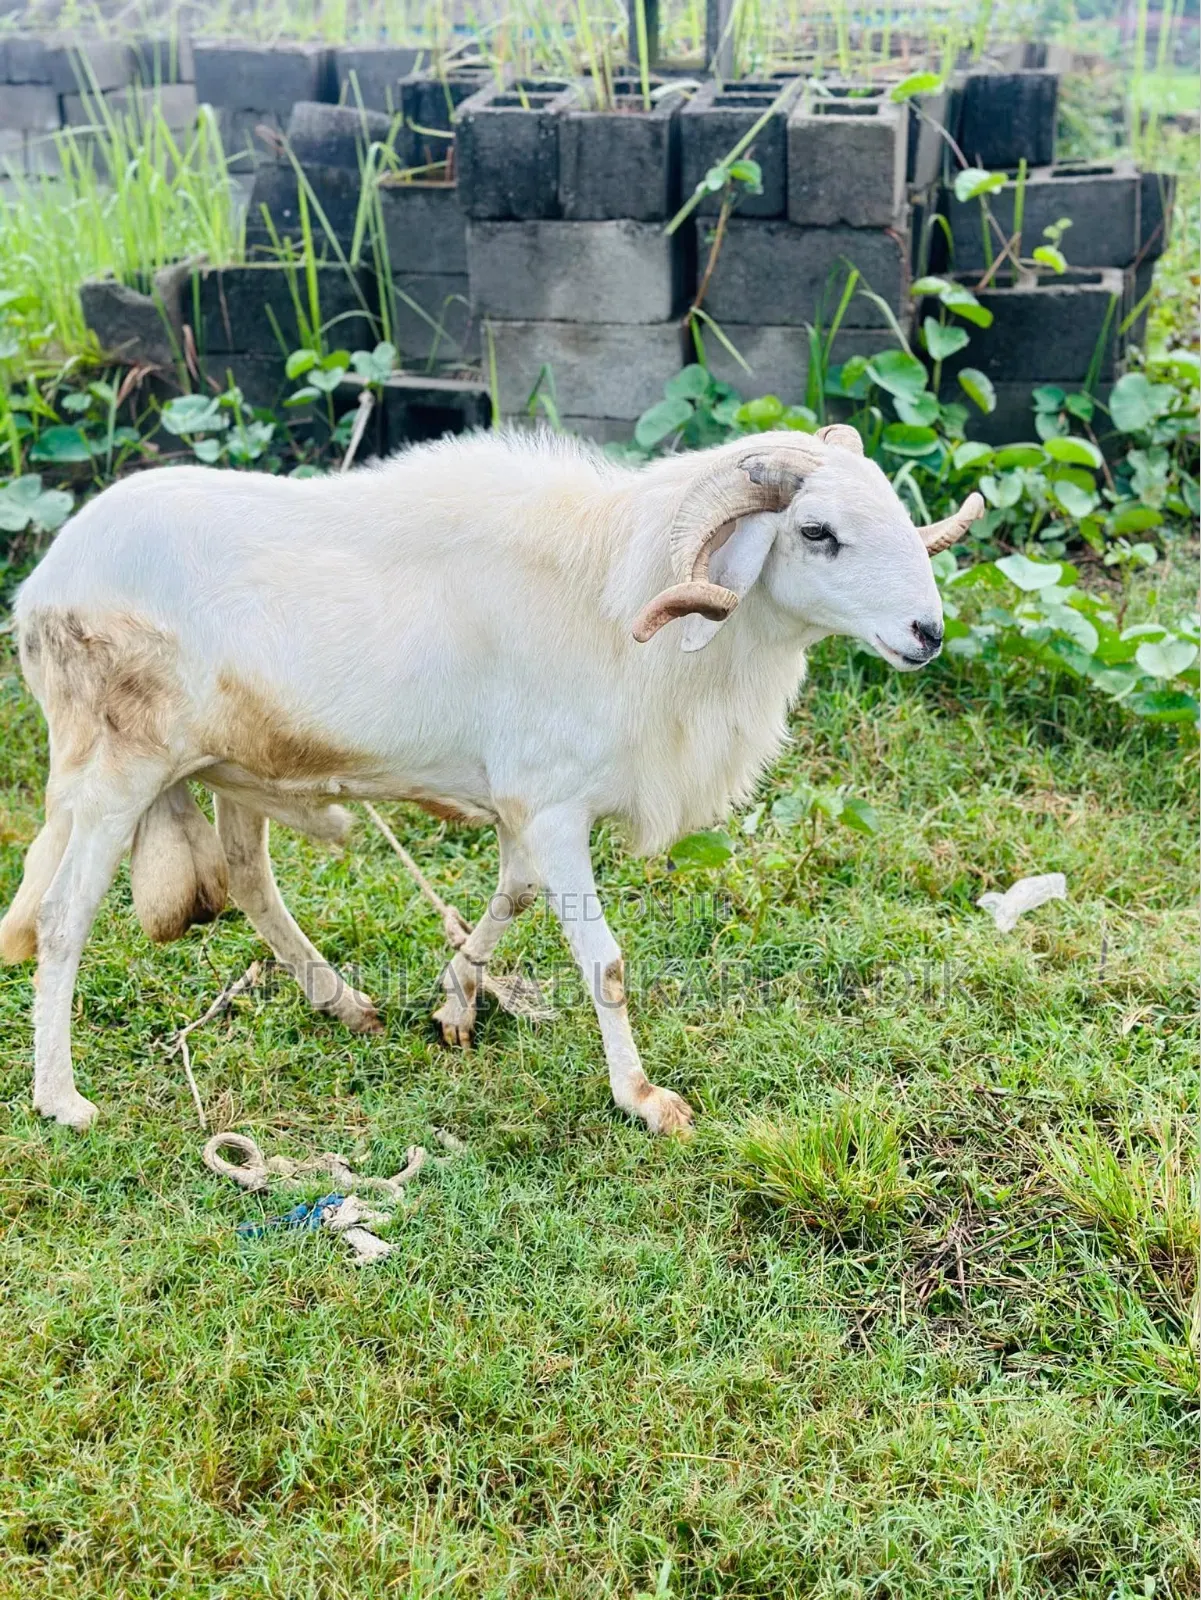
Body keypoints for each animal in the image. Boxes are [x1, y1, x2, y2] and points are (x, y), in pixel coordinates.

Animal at [0, 424, 982, 1134]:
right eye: (815, 532)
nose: (926, 634)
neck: (612, 599)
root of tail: (43, 586)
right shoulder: (553, 810)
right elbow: (603, 959)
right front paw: (643, 1100)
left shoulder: (525, 809)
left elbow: (511, 897)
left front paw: (455, 1006)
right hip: (118, 773)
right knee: (61, 920)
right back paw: (63, 1101)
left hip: (238, 771)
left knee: (248, 882)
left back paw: (343, 1005)